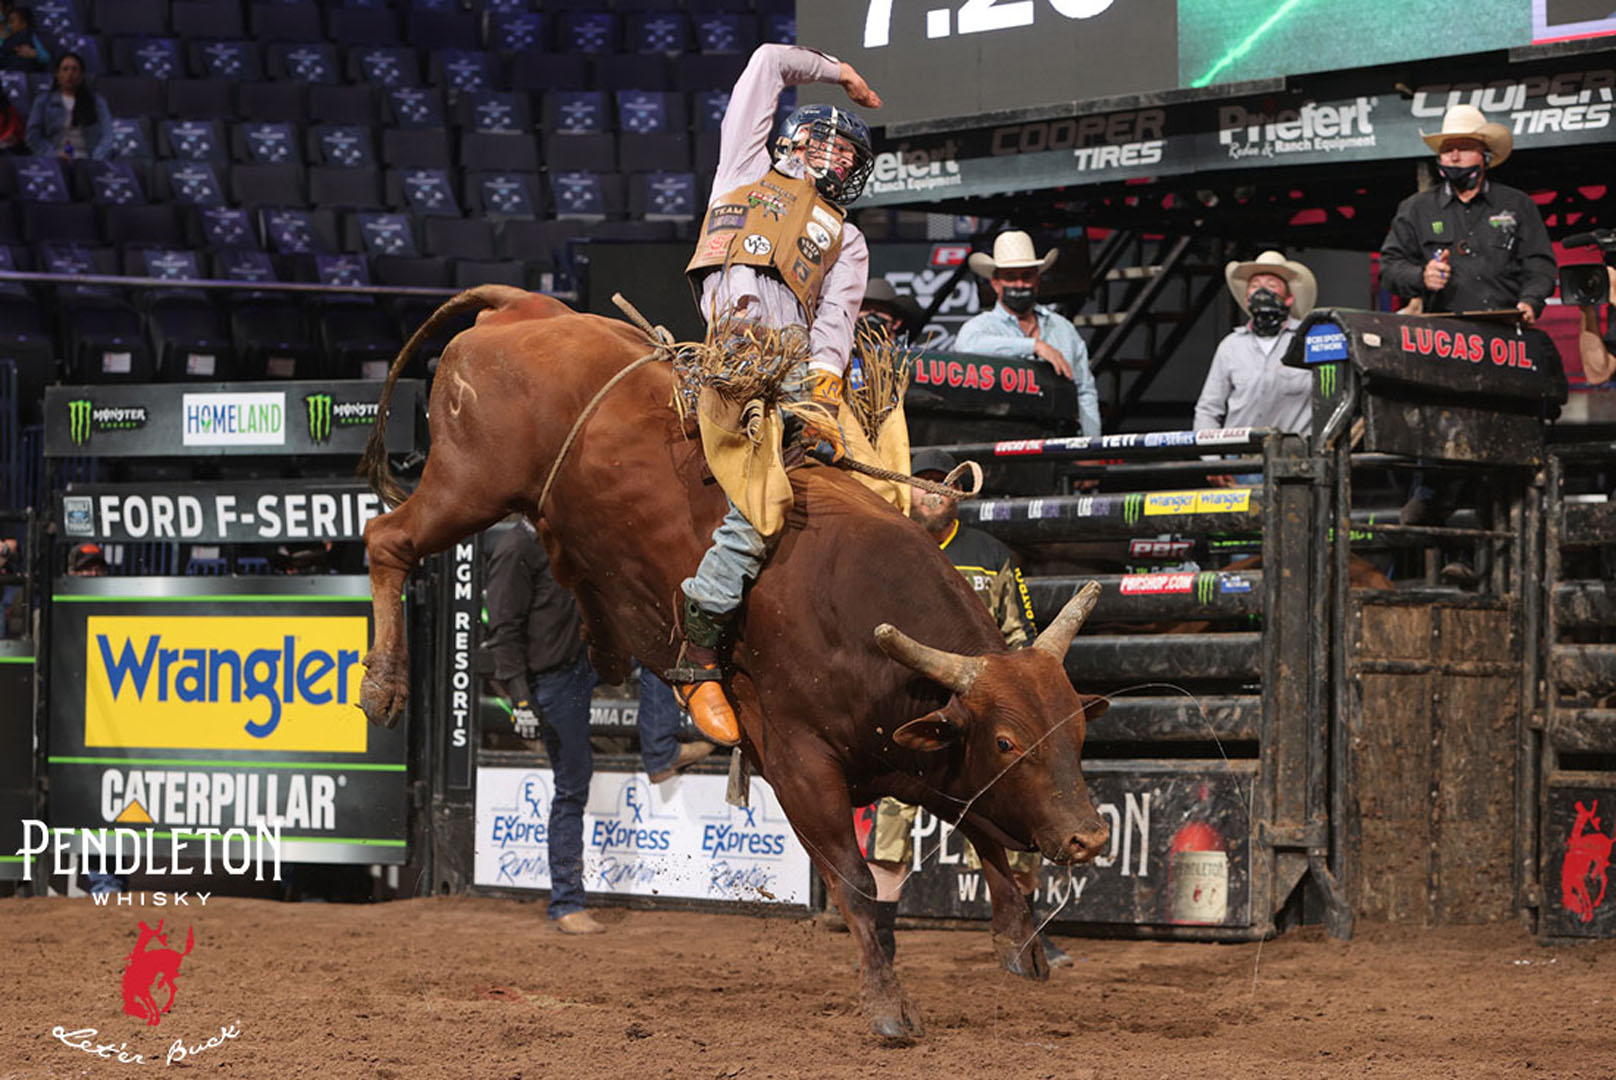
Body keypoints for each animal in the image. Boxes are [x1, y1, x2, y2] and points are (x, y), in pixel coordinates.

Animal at [357, 287, 1112, 1040]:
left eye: (1077, 732)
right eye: (1009, 741)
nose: (1089, 837)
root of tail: (524, 307)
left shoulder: (921, 759)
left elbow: (985, 829)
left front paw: (1021, 941)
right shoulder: (800, 764)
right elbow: (859, 882)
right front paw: (889, 1007)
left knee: (558, 556)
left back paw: (604, 645)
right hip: (468, 486)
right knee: (387, 538)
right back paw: (383, 685)